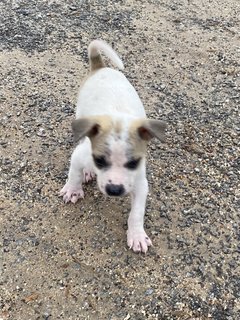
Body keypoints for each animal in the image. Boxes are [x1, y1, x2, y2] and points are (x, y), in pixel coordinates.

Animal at [59, 39, 167, 252]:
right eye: (99, 160)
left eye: (133, 163)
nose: (115, 190)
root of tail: (101, 67)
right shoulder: (80, 155)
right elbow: (74, 173)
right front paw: (73, 189)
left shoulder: (140, 183)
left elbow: (136, 213)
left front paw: (137, 235)